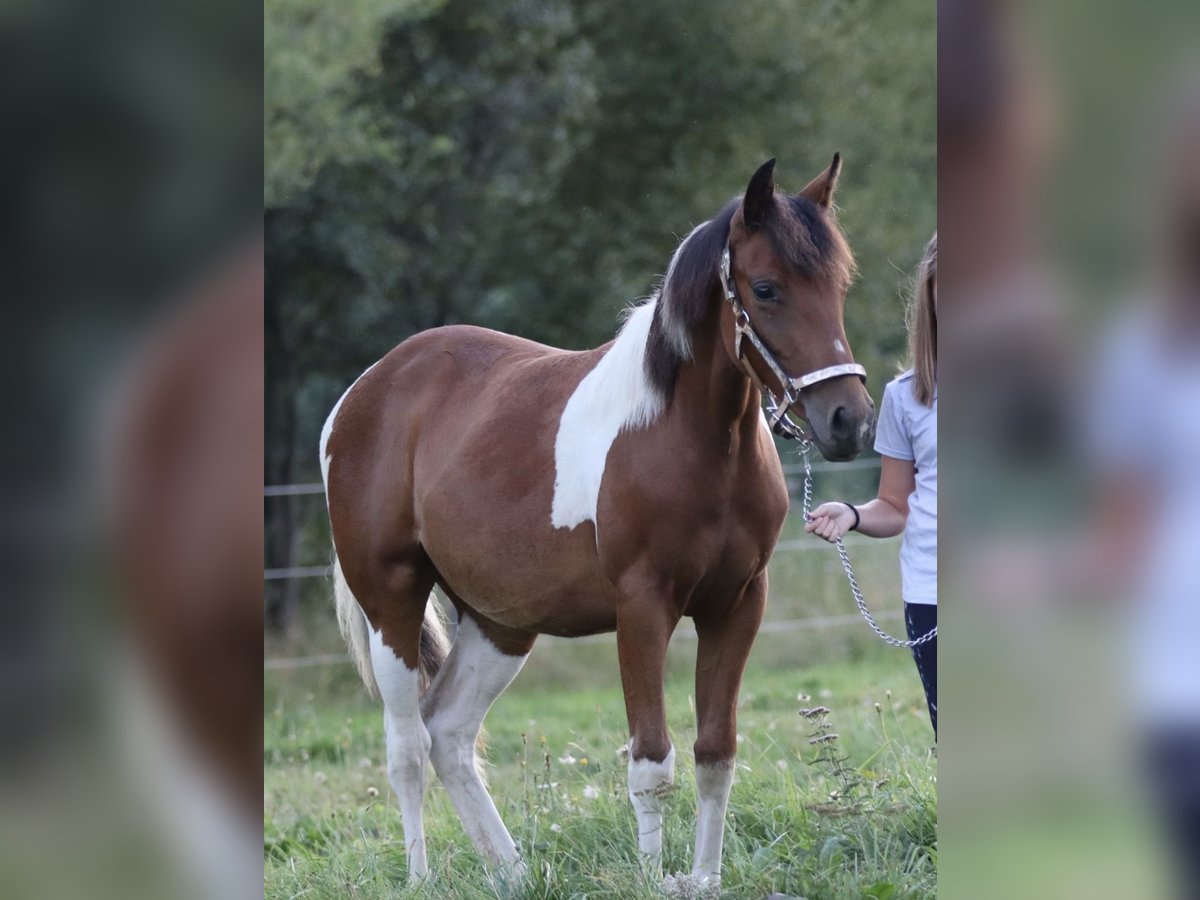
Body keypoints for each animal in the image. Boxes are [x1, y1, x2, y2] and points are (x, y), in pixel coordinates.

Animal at [320, 156, 875, 890]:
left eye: (840, 285)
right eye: (766, 288)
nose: (850, 422)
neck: (685, 439)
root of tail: (362, 394)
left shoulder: (736, 605)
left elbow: (715, 753)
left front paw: (703, 880)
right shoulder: (642, 609)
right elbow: (651, 762)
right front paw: (652, 878)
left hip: (500, 622)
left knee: (450, 734)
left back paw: (513, 873)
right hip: (391, 602)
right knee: (407, 744)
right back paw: (421, 879)